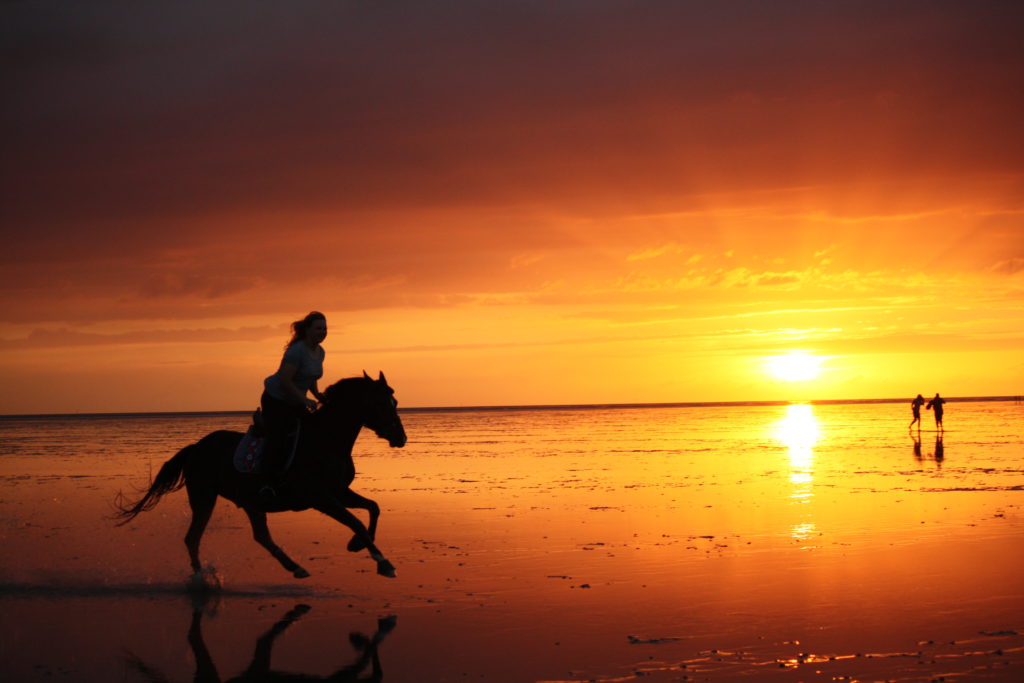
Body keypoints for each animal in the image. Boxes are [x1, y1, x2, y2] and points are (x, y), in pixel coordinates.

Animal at [114, 372, 407, 580]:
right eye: (383, 403)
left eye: (395, 402)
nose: (400, 437)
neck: (327, 439)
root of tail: (196, 448)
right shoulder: (320, 497)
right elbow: (355, 521)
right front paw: (384, 563)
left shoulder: (338, 492)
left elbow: (373, 508)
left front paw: (358, 545)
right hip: (204, 497)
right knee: (193, 537)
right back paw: (200, 578)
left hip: (250, 502)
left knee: (260, 536)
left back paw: (295, 567)